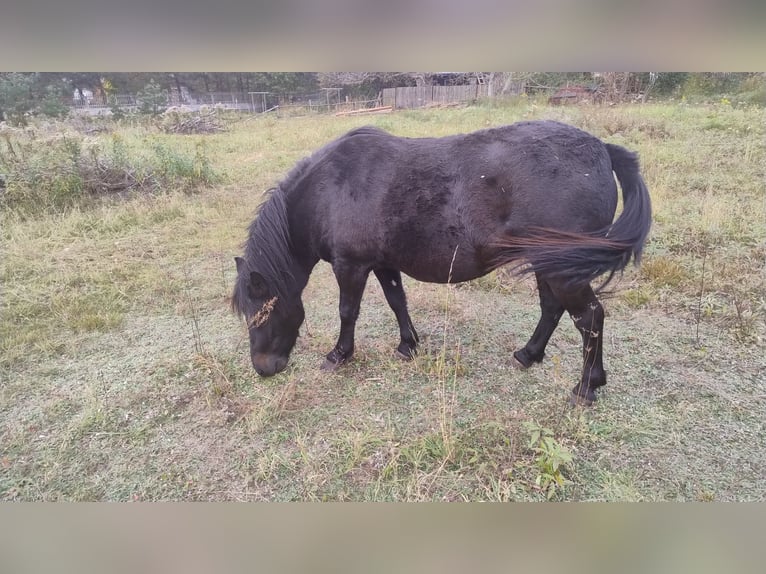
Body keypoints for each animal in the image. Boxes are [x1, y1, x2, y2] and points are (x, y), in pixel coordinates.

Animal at [231, 121, 652, 404]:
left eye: (262, 311)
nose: (263, 368)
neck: (329, 189)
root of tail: (602, 150)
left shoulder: (350, 265)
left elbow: (348, 312)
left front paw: (339, 355)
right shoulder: (383, 263)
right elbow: (397, 302)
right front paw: (408, 345)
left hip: (563, 269)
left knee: (590, 317)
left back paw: (586, 387)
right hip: (547, 264)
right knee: (552, 309)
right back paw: (528, 355)